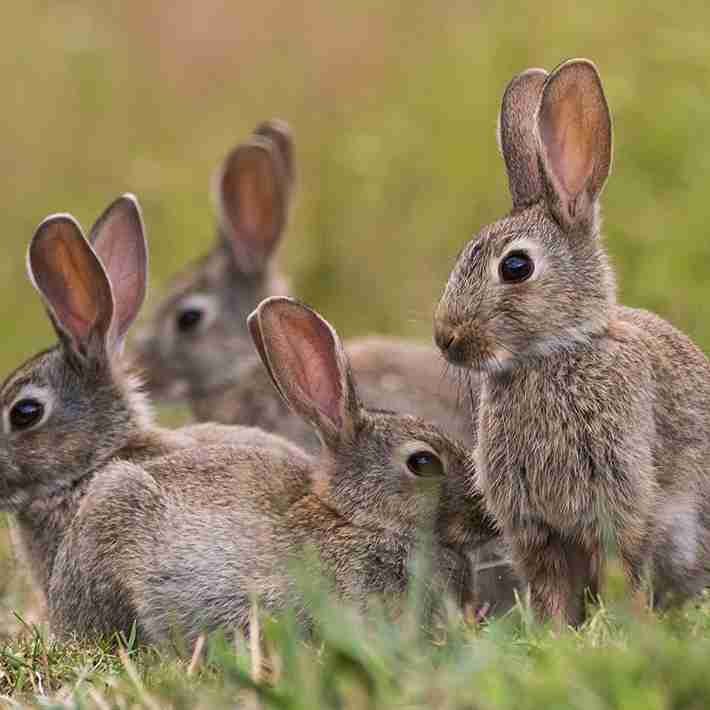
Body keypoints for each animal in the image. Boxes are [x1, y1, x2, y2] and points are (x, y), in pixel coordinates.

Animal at [434, 57, 710, 627]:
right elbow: (551, 589)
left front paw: (624, 628)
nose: (444, 337)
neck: (554, 353)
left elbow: (621, 571)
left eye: (516, 266)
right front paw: (557, 632)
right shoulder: (536, 530)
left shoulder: (619, 505)